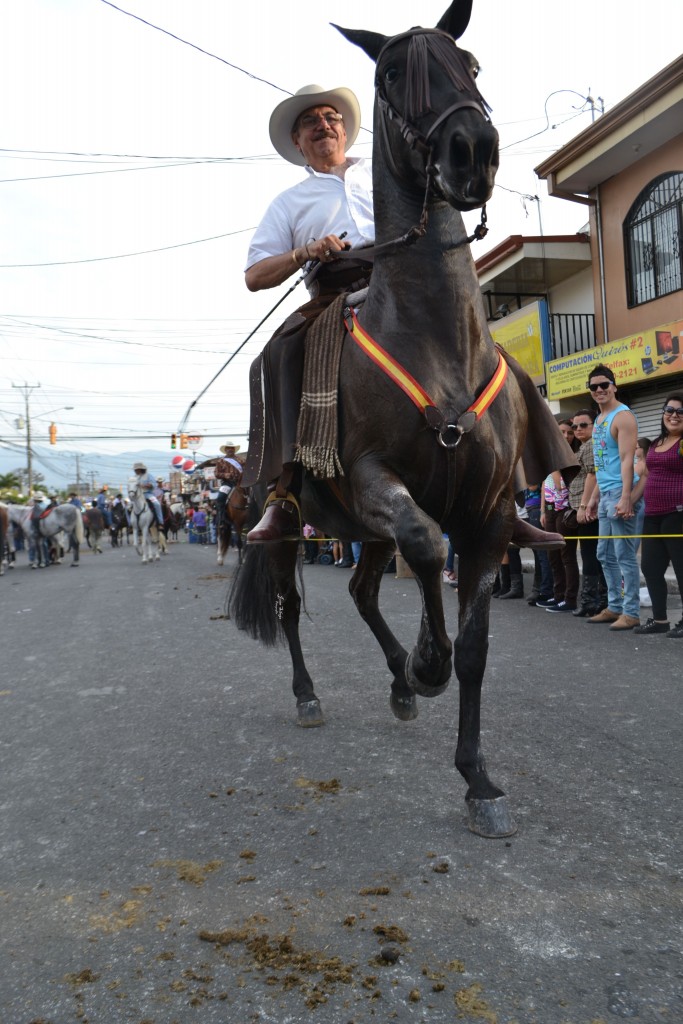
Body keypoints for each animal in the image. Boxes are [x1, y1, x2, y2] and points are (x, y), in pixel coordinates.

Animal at [229, 0, 557, 835]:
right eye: (389, 74)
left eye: (468, 64)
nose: (472, 151)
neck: (433, 335)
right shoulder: (380, 482)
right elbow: (426, 547)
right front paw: (427, 660)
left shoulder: (490, 514)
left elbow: (473, 647)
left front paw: (477, 780)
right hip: (291, 521)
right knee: (289, 605)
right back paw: (314, 694)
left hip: (360, 534)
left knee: (361, 591)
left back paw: (401, 684)